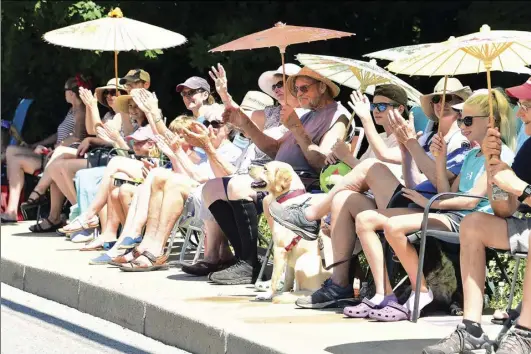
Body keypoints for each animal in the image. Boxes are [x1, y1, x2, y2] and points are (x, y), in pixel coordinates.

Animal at [249, 162, 332, 302]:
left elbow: (274, 278)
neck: (287, 197)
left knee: (305, 292)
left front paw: (268, 294)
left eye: (265, 168)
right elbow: (287, 278)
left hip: (301, 262)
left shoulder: (280, 249)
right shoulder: (289, 254)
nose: (249, 167)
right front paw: (282, 291)